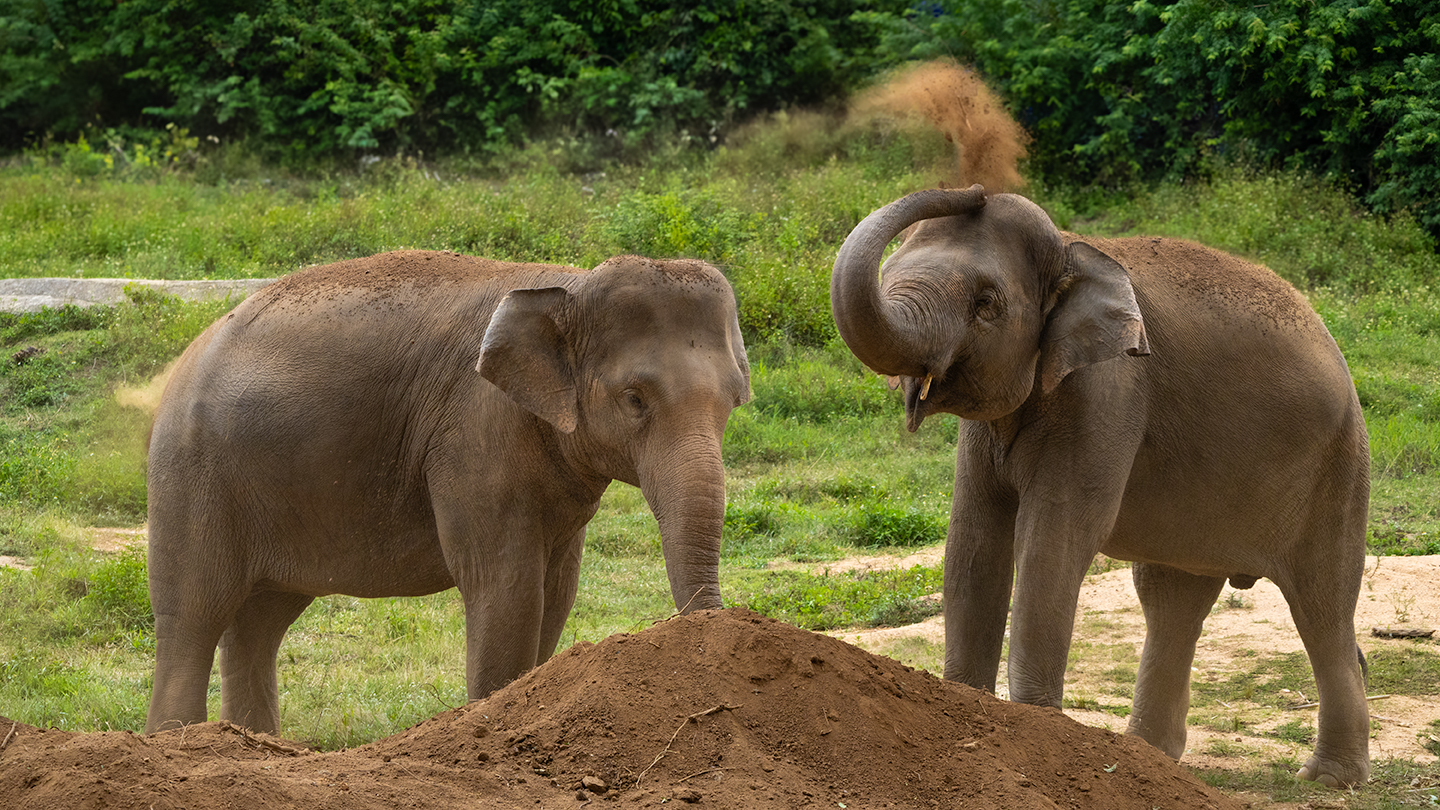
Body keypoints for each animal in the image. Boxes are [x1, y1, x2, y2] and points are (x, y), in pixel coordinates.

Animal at [144, 250, 751, 735]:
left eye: (734, 401)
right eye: (634, 399)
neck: (569, 286)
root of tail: (184, 358)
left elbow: (556, 593)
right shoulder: (474, 434)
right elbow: (507, 588)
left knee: (260, 621)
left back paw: (255, 749)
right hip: (193, 475)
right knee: (194, 614)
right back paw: (179, 744)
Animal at [830, 186, 1370, 787]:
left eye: (987, 304)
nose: (974, 190)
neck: (1072, 249)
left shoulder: (1107, 391)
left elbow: (1055, 536)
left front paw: (1033, 727)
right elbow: (973, 539)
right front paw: (963, 708)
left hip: (1337, 469)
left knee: (1322, 606)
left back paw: (1328, 778)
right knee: (1172, 599)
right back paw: (1149, 754)